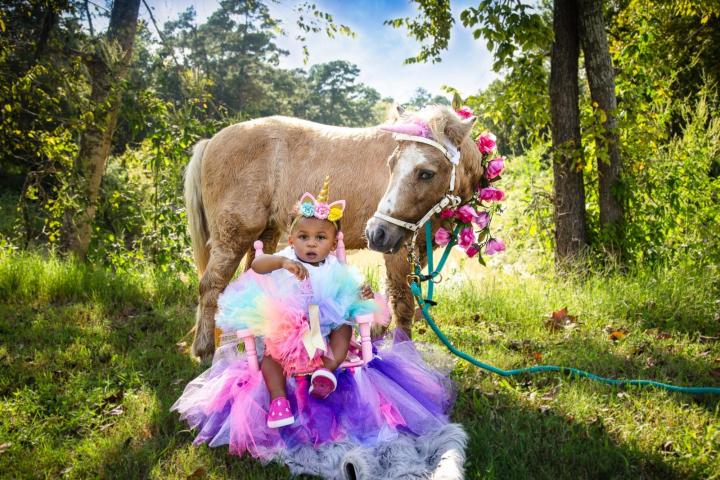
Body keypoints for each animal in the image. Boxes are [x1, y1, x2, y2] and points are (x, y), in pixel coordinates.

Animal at [184, 104, 484, 360]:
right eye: (391, 165)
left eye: (426, 173)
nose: (375, 232)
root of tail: (211, 142)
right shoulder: (397, 251)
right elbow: (403, 302)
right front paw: (404, 356)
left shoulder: (415, 247)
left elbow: (391, 295)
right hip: (233, 237)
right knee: (211, 285)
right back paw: (205, 352)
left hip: (265, 236)